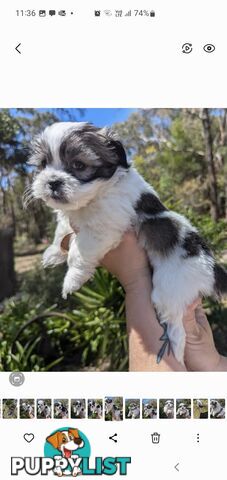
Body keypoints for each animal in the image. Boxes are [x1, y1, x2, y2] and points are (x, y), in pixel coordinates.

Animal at [27, 121, 227, 364]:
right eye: (43, 164)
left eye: (78, 165)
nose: (52, 182)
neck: (97, 194)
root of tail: (213, 267)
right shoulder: (74, 218)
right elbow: (62, 230)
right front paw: (53, 252)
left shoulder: (104, 227)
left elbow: (78, 252)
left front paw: (72, 280)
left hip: (169, 290)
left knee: (177, 328)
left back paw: (174, 351)